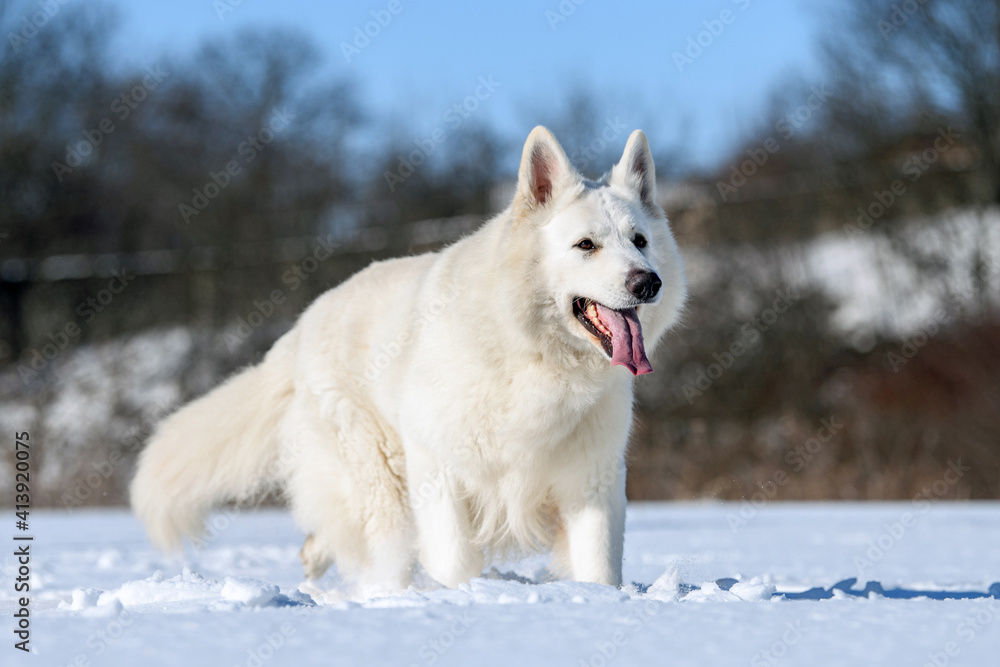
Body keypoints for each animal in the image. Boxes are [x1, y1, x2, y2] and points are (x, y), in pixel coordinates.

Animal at [129, 125, 684, 588]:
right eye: (585, 245)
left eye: (639, 241)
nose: (648, 282)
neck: (532, 356)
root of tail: (301, 327)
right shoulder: (439, 474)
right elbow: (454, 562)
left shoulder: (591, 482)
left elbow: (599, 569)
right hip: (385, 492)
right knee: (380, 556)